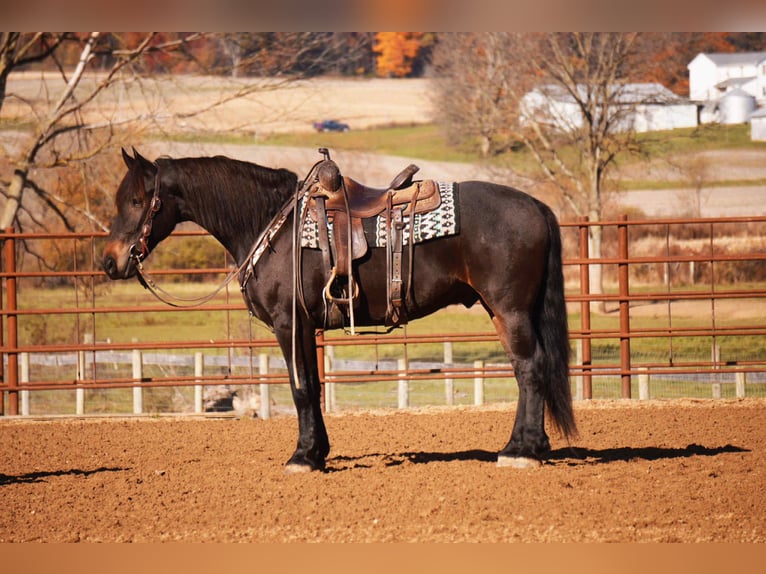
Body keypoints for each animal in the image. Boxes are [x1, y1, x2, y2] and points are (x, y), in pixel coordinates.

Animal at [102, 148, 576, 473]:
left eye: (137, 201)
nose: (110, 261)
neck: (272, 226)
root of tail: (536, 206)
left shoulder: (289, 325)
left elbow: (301, 390)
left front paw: (303, 456)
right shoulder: (305, 329)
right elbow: (312, 387)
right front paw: (318, 452)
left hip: (510, 310)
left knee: (530, 369)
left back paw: (520, 451)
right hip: (503, 312)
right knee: (525, 370)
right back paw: (528, 446)